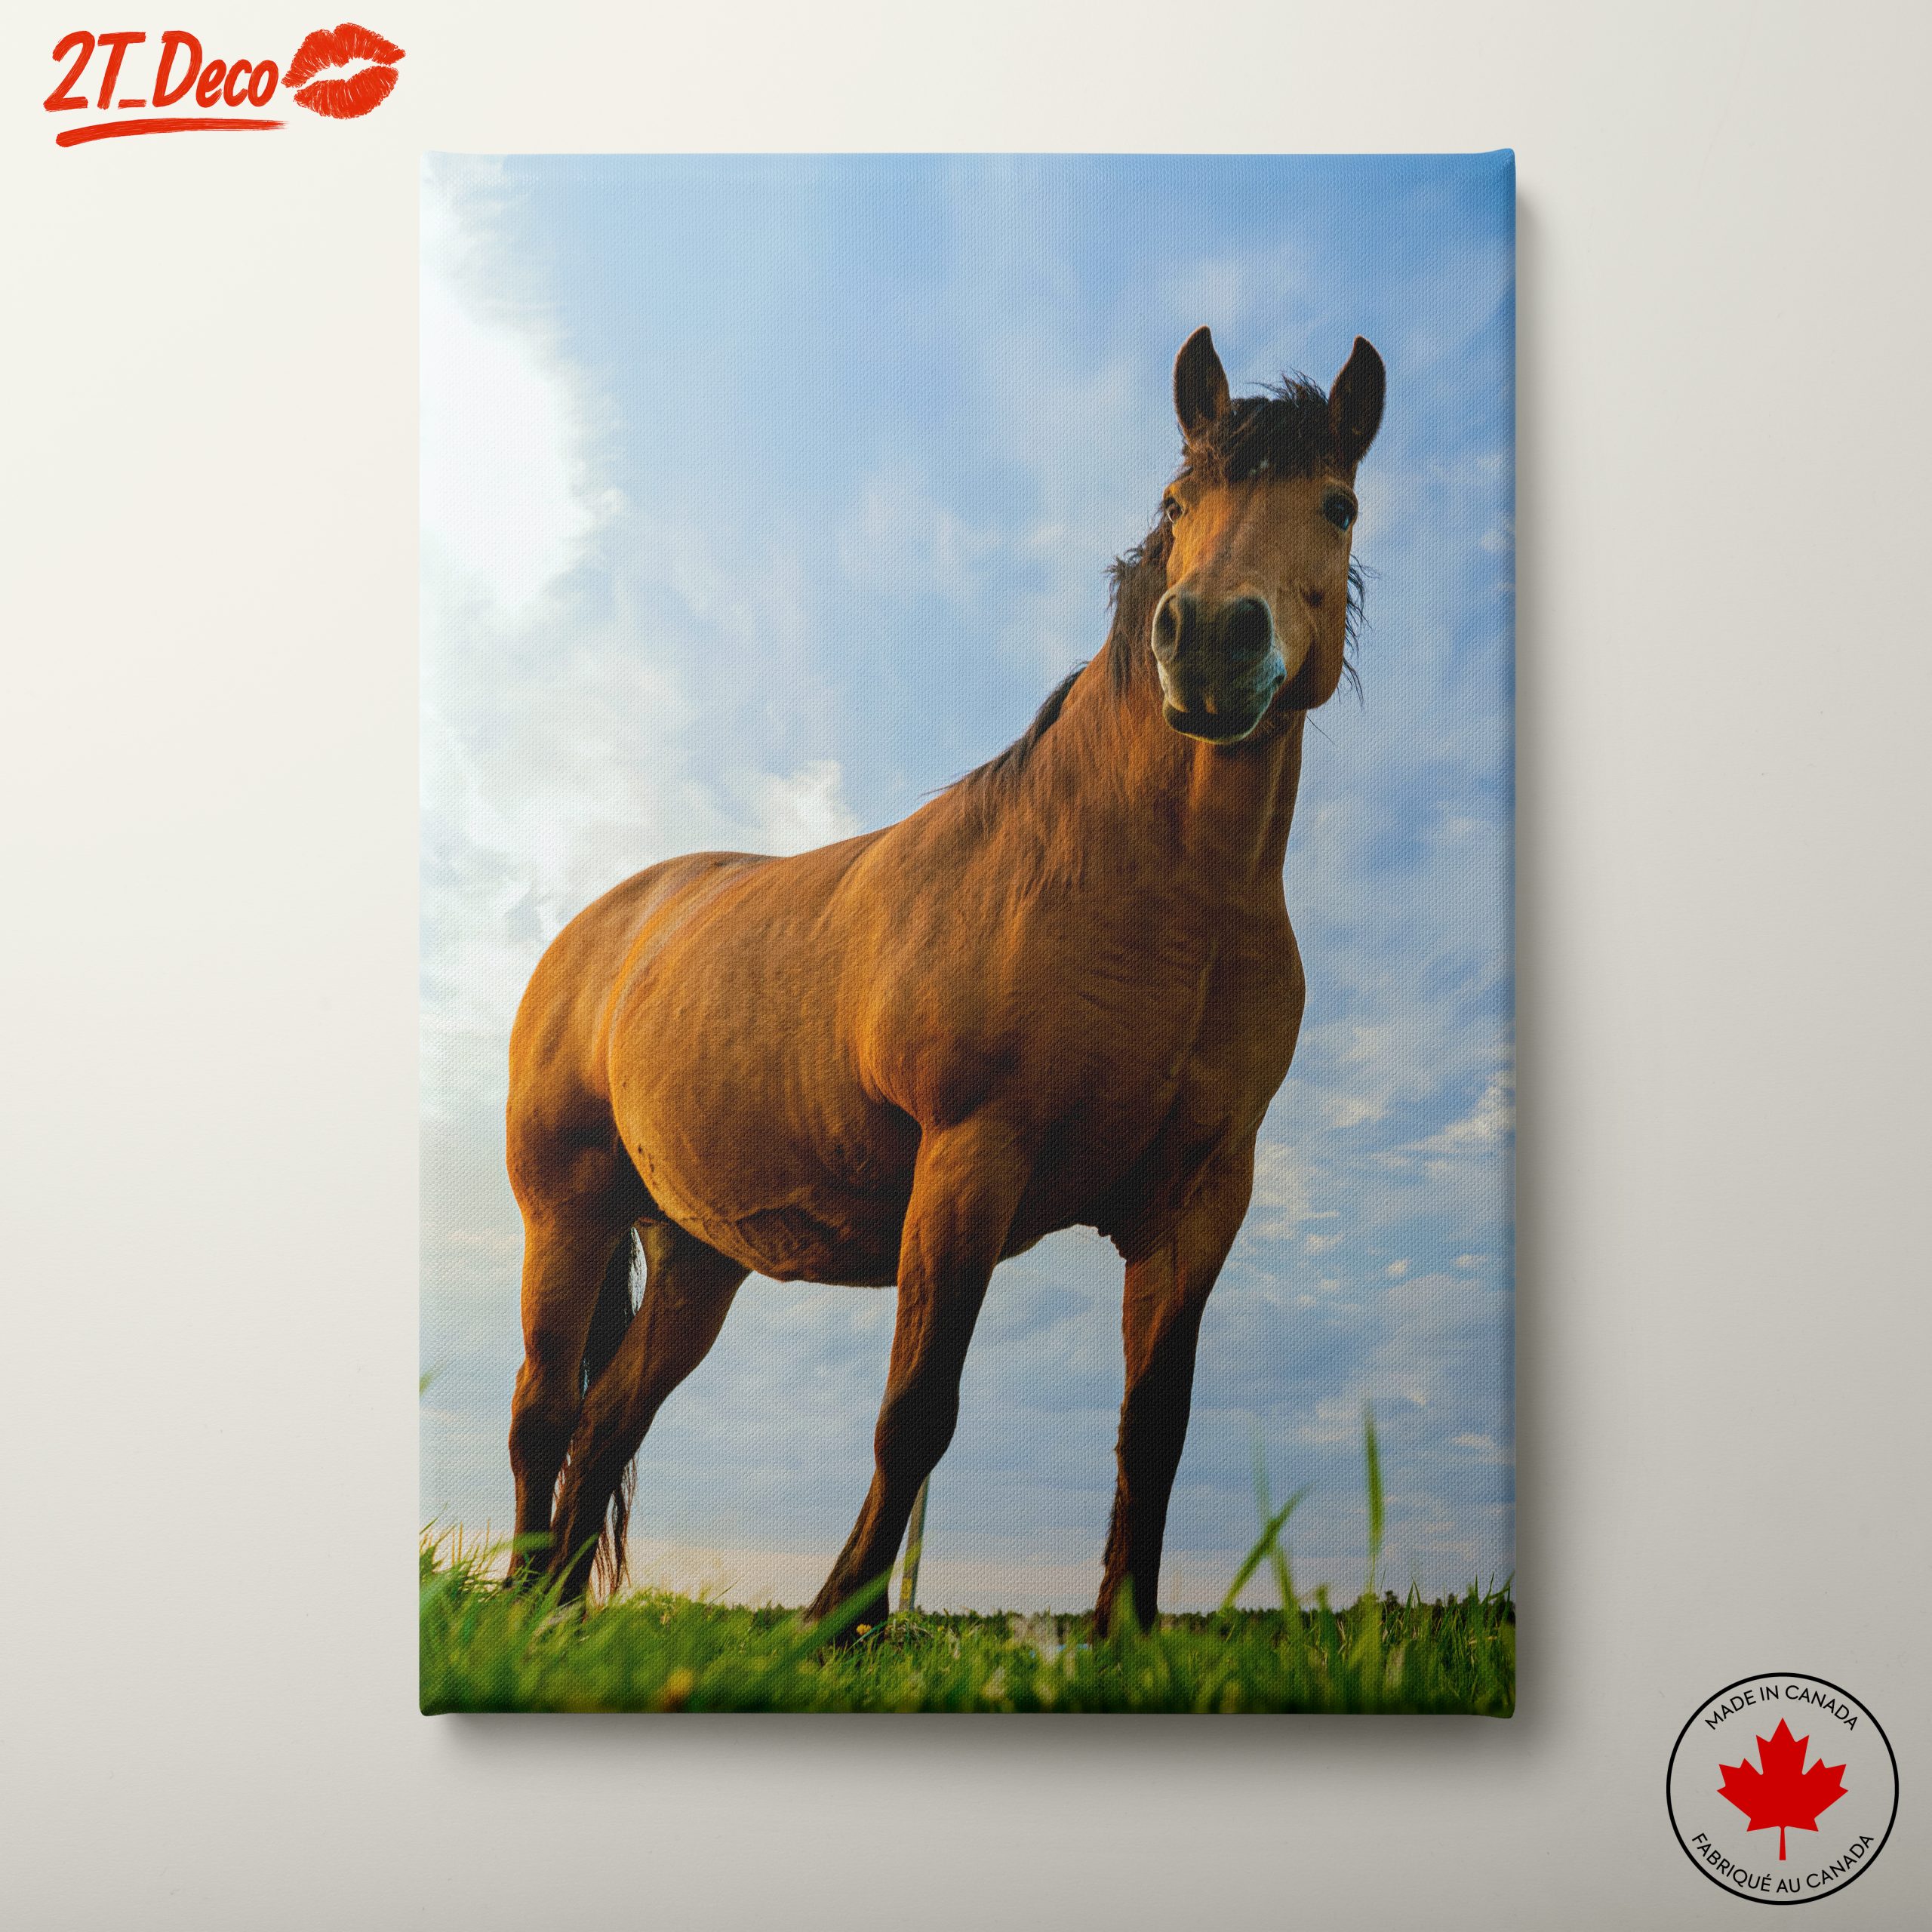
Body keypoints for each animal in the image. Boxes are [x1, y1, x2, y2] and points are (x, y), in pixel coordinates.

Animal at [504, 325, 1385, 1633]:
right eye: (1179, 502)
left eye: (1338, 504)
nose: (1212, 643)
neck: (1156, 893)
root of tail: (603, 926)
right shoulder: (973, 1157)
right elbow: (917, 1411)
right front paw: (838, 1625)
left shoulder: (1200, 1199)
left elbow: (1155, 1431)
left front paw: (1125, 1636)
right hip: (566, 1211)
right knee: (543, 1414)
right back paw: (515, 1598)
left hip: (696, 1256)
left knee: (609, 1422)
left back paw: (556, 1615)